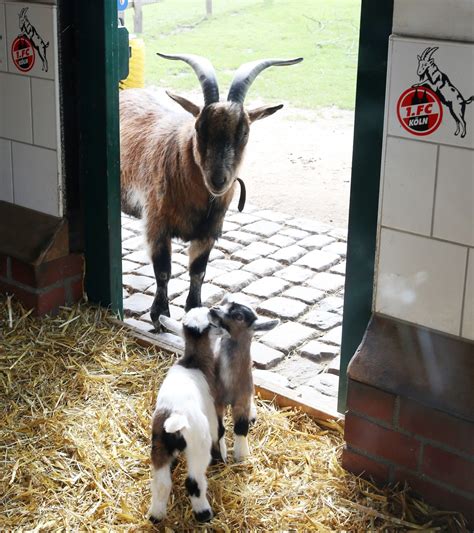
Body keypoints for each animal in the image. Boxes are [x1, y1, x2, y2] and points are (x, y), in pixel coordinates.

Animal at [120, 54, 302, 328]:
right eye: (199, 128)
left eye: (244, 133)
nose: (218, 180)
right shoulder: (157, 223)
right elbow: (163, 271)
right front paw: (158, 316)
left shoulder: (208, 232)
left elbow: (199, 272)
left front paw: (194, 310)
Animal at [150, 306, 218, 520]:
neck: (193, 361)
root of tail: (176, 417)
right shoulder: (212, 413)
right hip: (198, 447)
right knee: (194, 483)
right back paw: (204, 514)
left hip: (159, 444)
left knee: (162, 484)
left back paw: (155, 517)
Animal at [210, 296, 278, 462]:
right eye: (225, 303)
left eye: (239, 316)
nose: (213, 309)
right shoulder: (216, 400)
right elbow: (219, 428)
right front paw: (221, 454)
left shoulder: (242, 400)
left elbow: (241, 428)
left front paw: (242, 455)